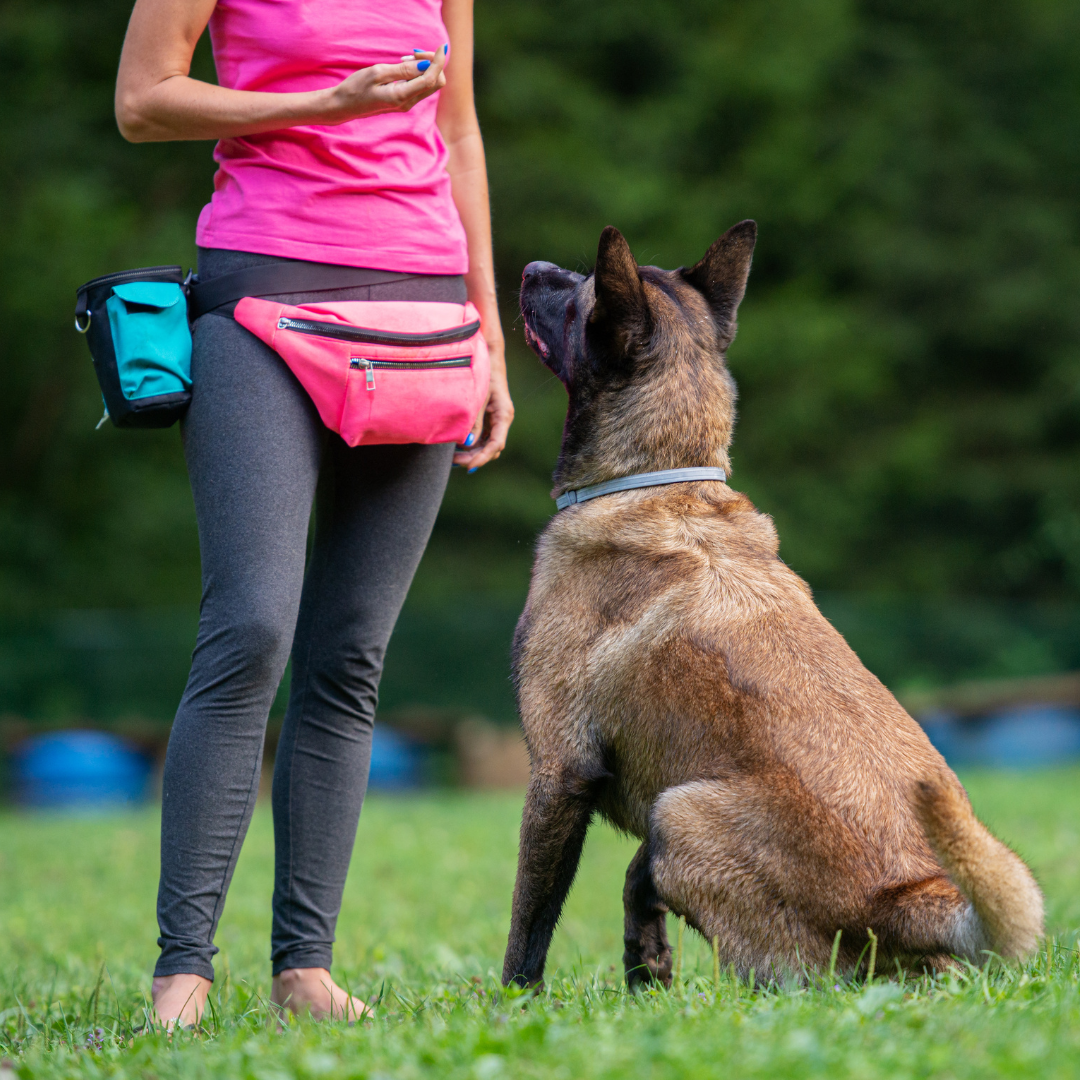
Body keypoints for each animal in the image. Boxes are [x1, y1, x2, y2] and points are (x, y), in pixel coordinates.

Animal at [503, 221, 1044, 990]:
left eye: (580, 296)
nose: (532, 265)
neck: (659, 480)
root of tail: (909, 898)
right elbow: (636, 886)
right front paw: (647, 972)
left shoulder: (558, 773)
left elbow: (530, 922)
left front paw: (512, 1004)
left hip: (680, 811)